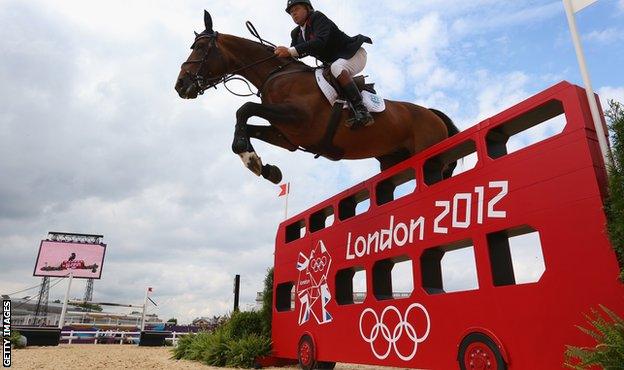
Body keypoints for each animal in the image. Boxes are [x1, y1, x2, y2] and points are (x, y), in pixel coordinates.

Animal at [176, 10, 458, 184]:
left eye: (200, 47)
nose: (180, 86)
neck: (275, 74)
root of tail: (432, 114)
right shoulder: (287, 135)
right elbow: (250, 124)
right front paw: (266, 169)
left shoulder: (299, 118)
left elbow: (244, 108)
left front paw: (250, 158)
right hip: (392, 160)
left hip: (428, 156)